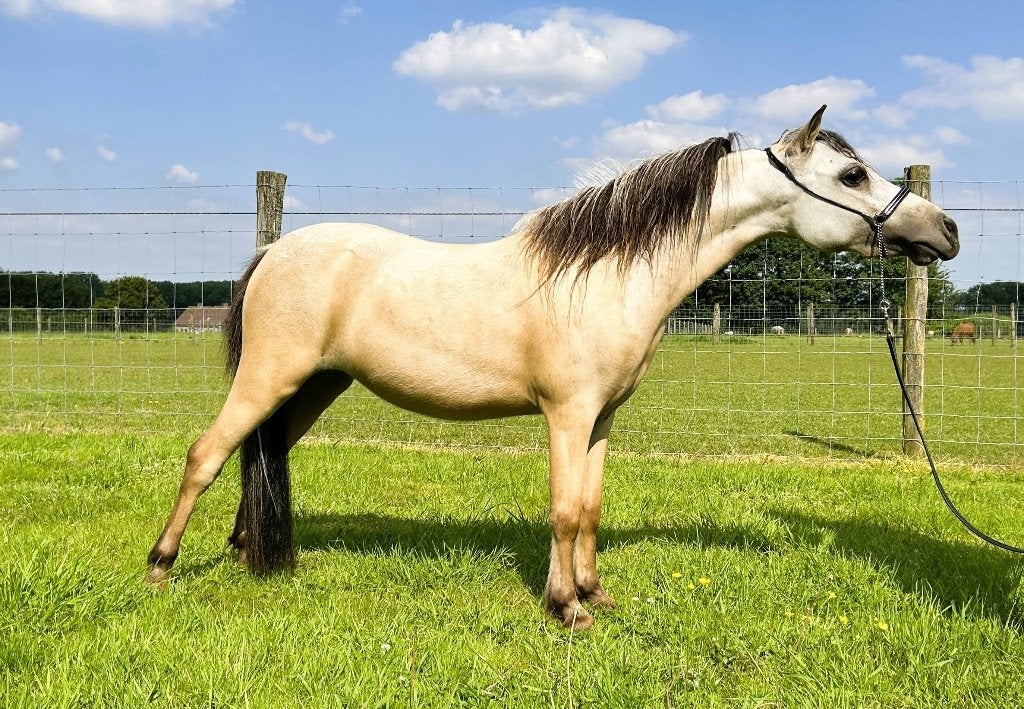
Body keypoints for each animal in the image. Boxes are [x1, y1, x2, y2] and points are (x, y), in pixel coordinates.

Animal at [146, 106, 959, 629]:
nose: (944, 231)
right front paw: (563, 608)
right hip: (270, 377)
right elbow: (565, 509)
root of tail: (273, 252)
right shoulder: (566, 414)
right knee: (206, 454)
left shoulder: (600, 419)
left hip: (314, 385)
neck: (609, 275)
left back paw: (249, 551)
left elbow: (591, 508)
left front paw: (594, 595)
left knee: (265, 452)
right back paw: (161, 565)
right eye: (850, 174)